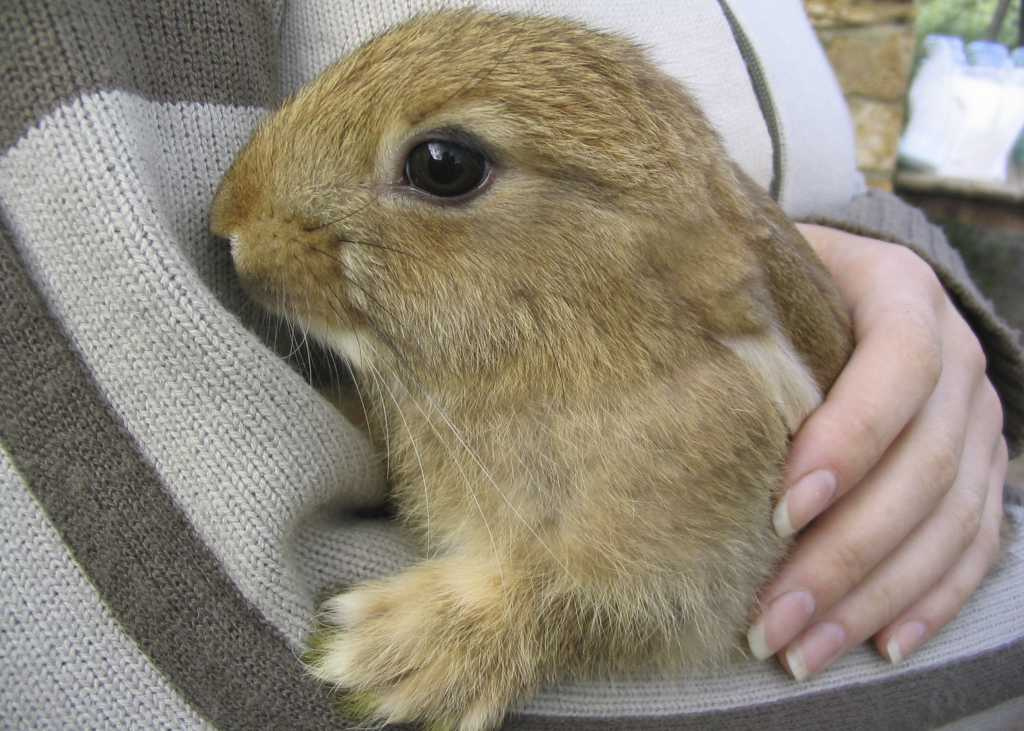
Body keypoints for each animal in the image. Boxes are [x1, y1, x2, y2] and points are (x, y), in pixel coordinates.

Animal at [210, 9, 853, 730]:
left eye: (443, 165)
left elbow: (585, 607)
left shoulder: (699, 574)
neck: (562, 341)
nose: (230, 222)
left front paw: (391, 655)